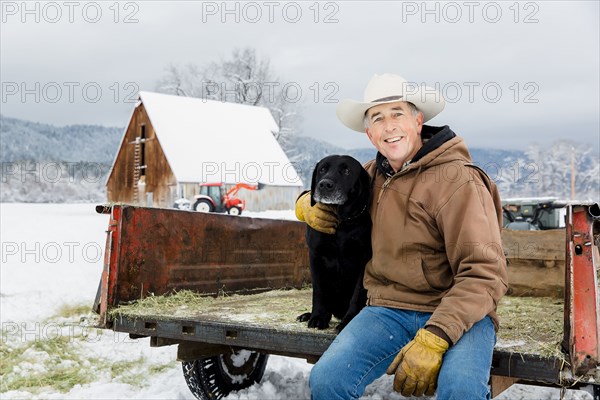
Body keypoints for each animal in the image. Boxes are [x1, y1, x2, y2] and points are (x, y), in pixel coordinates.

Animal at [298, 155, 372, 332]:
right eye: (322, 169)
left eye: (346, 171)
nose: (325, 184)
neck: (340, 223)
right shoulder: (316, 255)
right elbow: (318, 291)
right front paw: (317, 317)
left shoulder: (363, 259)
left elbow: (357, 294)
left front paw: (347, 322)